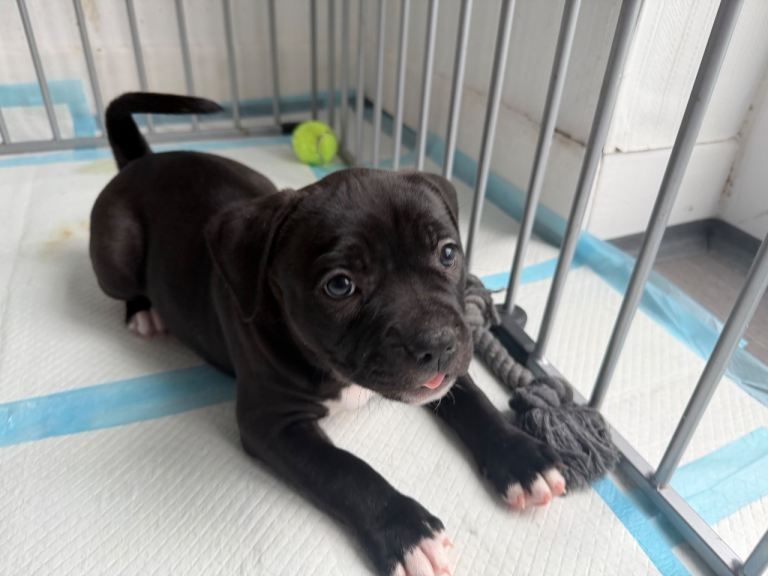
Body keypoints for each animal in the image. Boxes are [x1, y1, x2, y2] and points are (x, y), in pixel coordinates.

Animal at [90, 93, 566, 576]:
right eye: (340, 286)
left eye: (448, 253)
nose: (437, 344)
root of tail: (142, 162)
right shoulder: (272, 422)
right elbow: (345, 470)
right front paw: (409, 532)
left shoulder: (449, 369)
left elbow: (474, 400)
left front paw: (522, 460)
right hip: (116, 252)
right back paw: (144, 314)